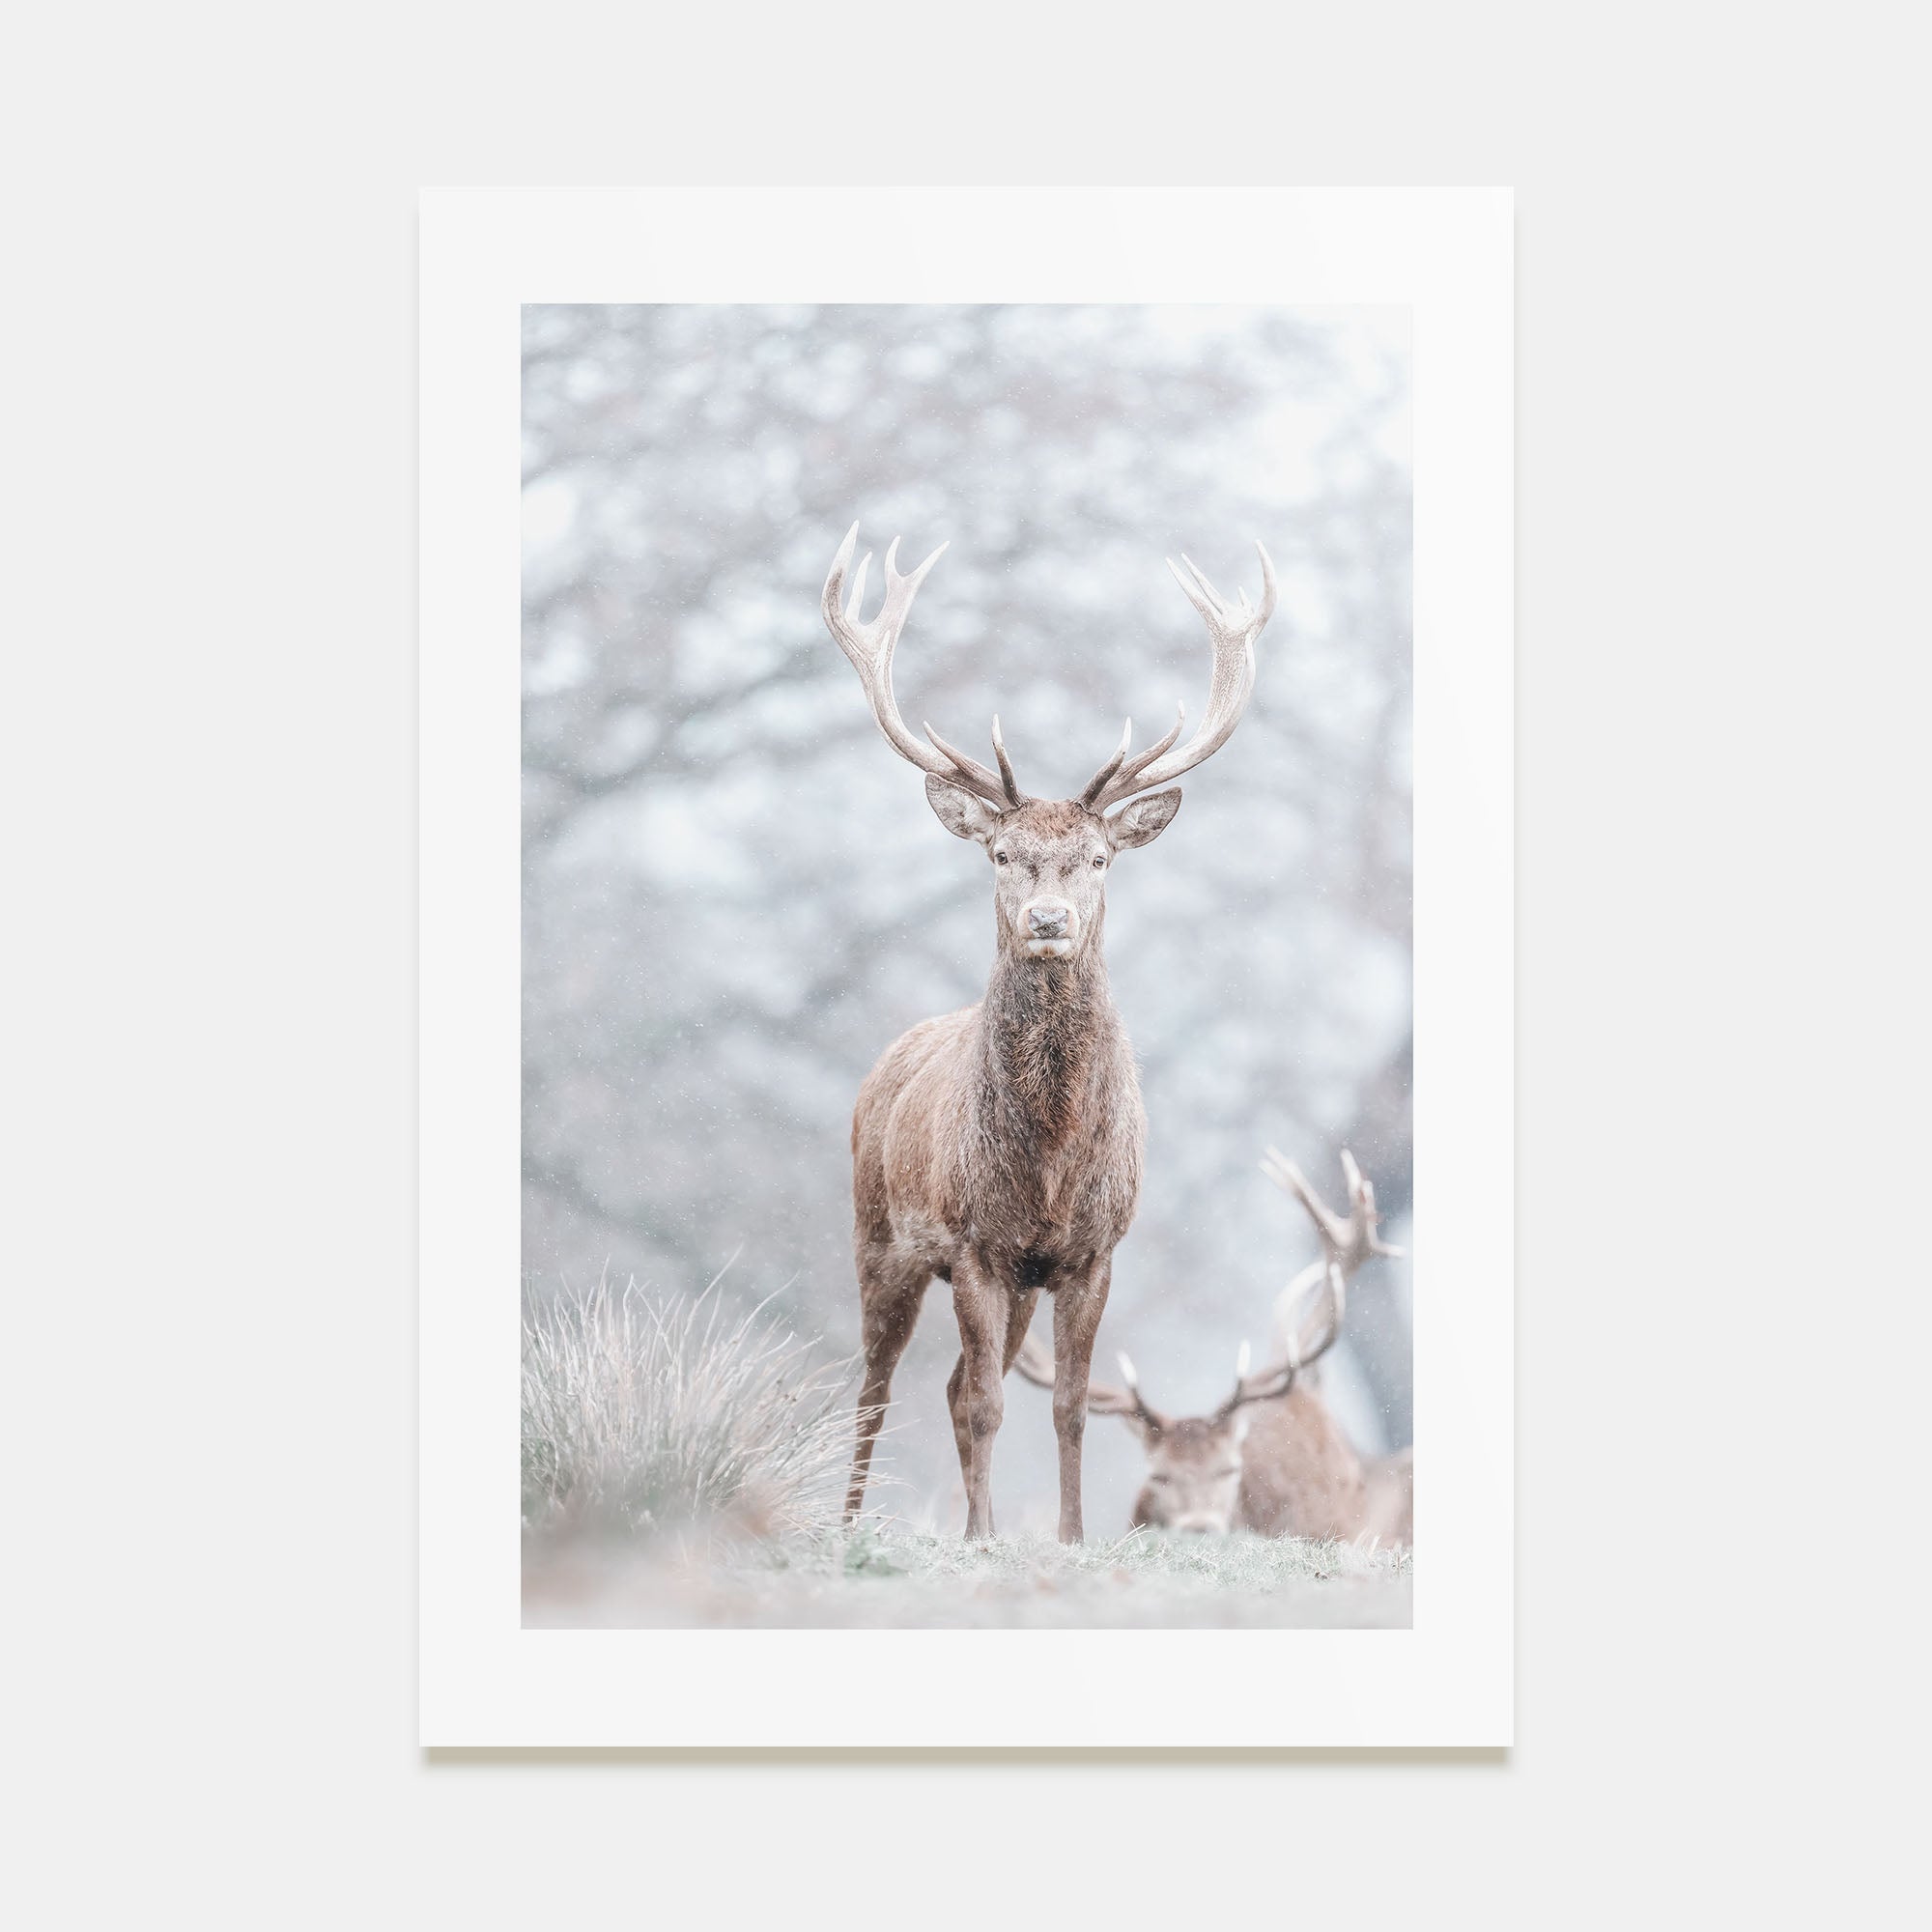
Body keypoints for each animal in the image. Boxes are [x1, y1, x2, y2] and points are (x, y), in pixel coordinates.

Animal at [825, 523, 1278, 1542]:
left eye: (1099, 858)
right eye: (1003, 853)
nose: (1047, 919)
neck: (1050, 1157)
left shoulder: (1090, 1251)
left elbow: (1067, 1406)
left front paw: (1068, 1537)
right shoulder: (973, 1244)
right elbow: (991, 1405)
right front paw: (987, 1540)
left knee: (951, 1386)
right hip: (880, 1236)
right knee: (880, 1388)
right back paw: (853, 1521)